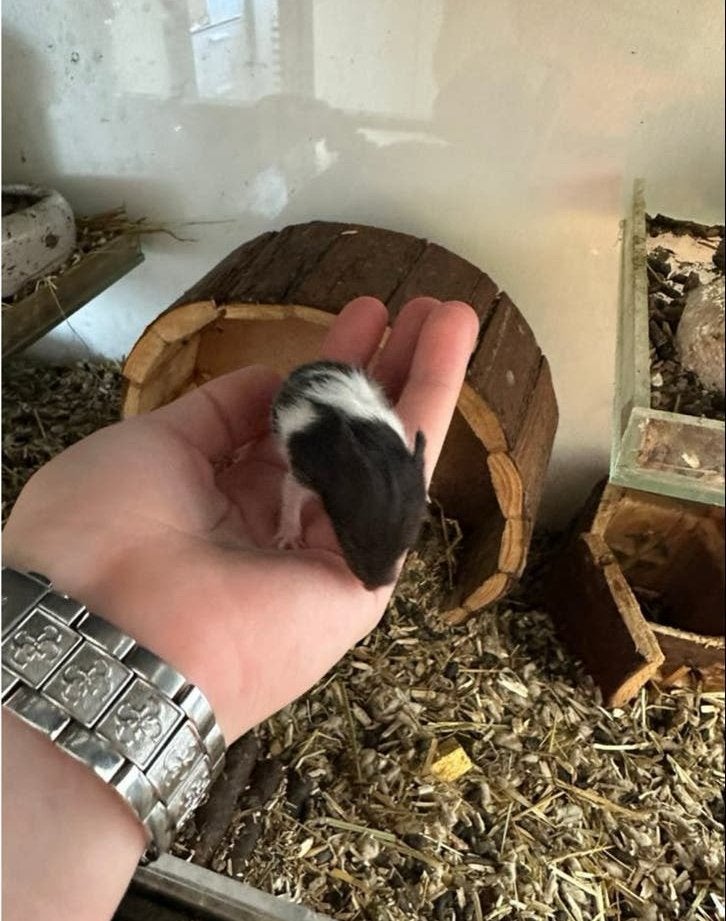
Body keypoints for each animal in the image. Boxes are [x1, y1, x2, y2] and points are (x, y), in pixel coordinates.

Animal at [271, 360, 427, 590]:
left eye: (405, 547)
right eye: (352, 541)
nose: (373, 587)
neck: (378, 451)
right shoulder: (305, 472)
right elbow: (291, 497)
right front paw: (289, 540)